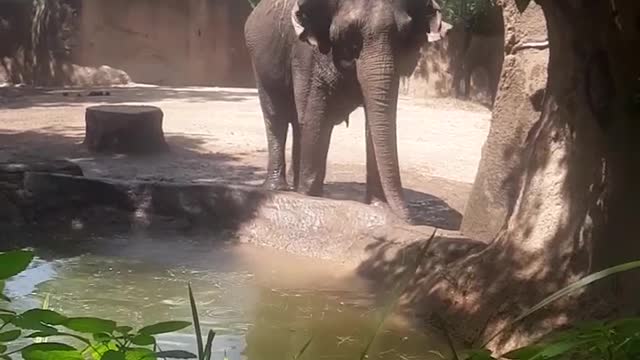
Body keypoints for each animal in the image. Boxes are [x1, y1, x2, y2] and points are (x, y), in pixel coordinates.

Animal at [245, 0, 444, 222]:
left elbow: (373, 121)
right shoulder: (305, 53)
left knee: (296, 123)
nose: (409, 219)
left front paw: (378, 206)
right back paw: (279, 188)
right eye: (351, 36)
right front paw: (309, 197)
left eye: (403, 35)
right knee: (277, 115)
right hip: (259, 60)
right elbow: (314, 115)